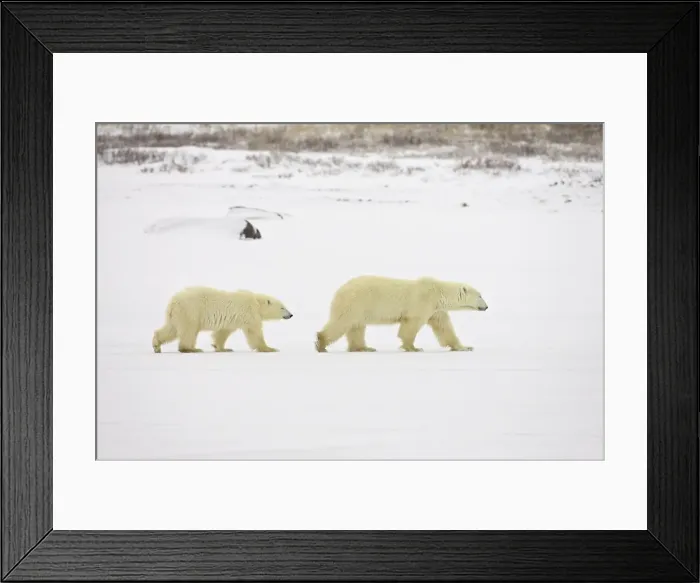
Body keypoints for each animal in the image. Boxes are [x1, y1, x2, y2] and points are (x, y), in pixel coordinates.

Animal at [152, 286, 293, 354]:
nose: (291, 315)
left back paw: (156, 345)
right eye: (282, 307)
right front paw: (270, 348)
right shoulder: (249, 313)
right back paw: (192, 349)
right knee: (189, 331)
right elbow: (254, 332)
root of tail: (173, 302)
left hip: (178, 315)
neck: (257, 302)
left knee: (171, 330)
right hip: (191, 311)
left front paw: (223, 348)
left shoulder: (232, 319)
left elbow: (223, 332)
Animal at [315, 275, 488, 353]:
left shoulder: (435, 310)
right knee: (341, 323)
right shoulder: (422, 302)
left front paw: (464, 347)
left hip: (358, 309)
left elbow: (444, 327)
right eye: (480, 295)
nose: (486, 306)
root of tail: (339, 291)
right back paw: (321, 344)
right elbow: (411, 325)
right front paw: (413, 348)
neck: (438, 292)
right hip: (354, 303)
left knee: (356, 328)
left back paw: (364, 348)